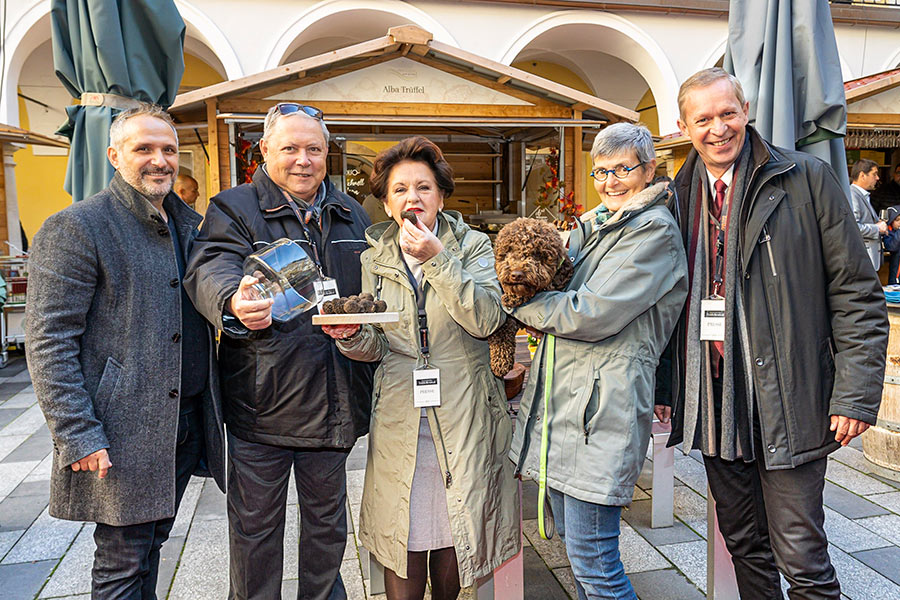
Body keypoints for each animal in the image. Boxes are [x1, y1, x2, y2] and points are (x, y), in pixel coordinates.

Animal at [486, 218, 576, 378]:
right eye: (508, 252)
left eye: (537, 255)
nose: (516, 274)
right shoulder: (507, 320)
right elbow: (501, 332)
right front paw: (500, 362)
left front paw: (513, 297)